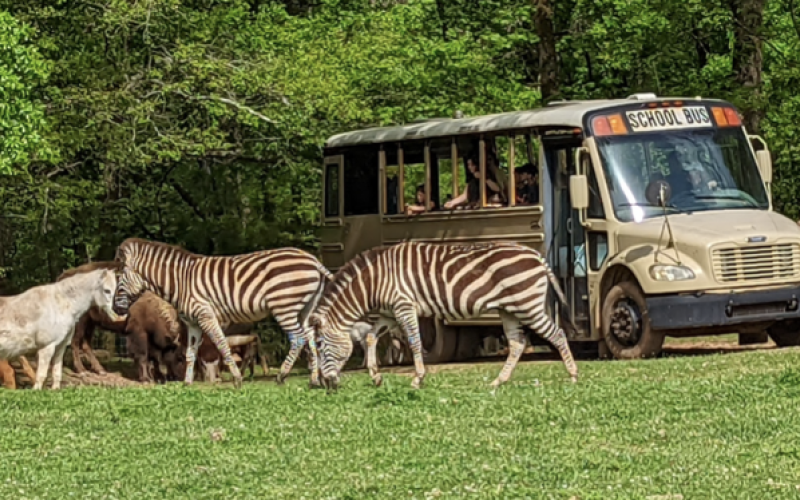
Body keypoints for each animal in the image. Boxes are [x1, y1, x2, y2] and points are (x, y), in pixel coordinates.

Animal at [113, 238, 334, 389]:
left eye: (119, 277)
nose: (115, 309)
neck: (181, 282)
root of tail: (313, 260)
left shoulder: (206, 315)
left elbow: (222, 344)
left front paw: (236, 378)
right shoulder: (192, 323)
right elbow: (191, 352)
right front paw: (187, 382)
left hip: (285, 307)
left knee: (297, 339)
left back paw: (282, 375)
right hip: (305, 309)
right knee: (311, 339)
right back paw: (314, 380)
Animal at [309, 241, 579, 390]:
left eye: (321, 346)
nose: (324, 384)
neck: (374, 281)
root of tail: (536, 255)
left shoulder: (404, 306)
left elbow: (415, 343)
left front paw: (417, 379)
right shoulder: (389, 314)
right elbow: (370, 338)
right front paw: (376, 376)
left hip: (527, 304)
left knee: (557, 333)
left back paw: (573, 375)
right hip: (510, 309)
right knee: (516, 344)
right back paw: (498, 381)